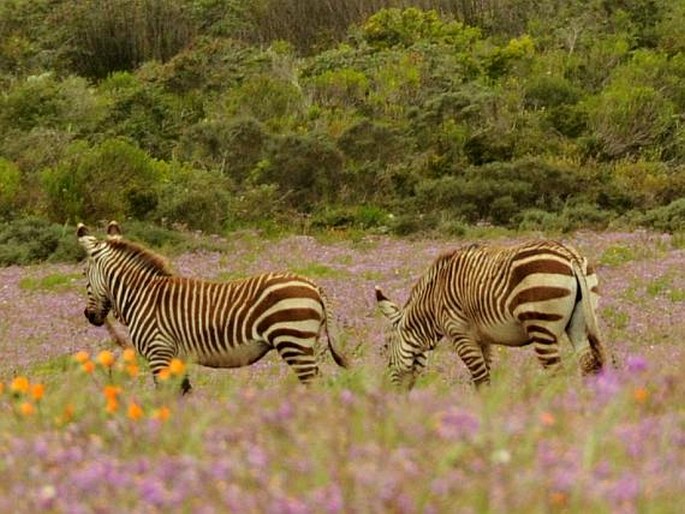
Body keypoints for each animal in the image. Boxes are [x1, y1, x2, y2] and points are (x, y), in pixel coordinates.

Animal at [77, 218, 350, 390]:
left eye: (83, 273)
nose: (89, 315)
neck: (141, 295)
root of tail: (314, 285)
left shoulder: (159, 352)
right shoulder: (176, 357)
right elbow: (184, 393)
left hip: (293, 340)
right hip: (304, 342)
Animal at [376, 240, 608, 388]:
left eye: (385, 349)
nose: (394, 395)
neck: (433, 301)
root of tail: (570, 255)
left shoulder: (460, 335)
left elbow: (481, 380)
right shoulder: (483, 340)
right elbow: (486, 376)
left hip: (541, 327)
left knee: (557, 376)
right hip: (579, 323)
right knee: (588, 366)